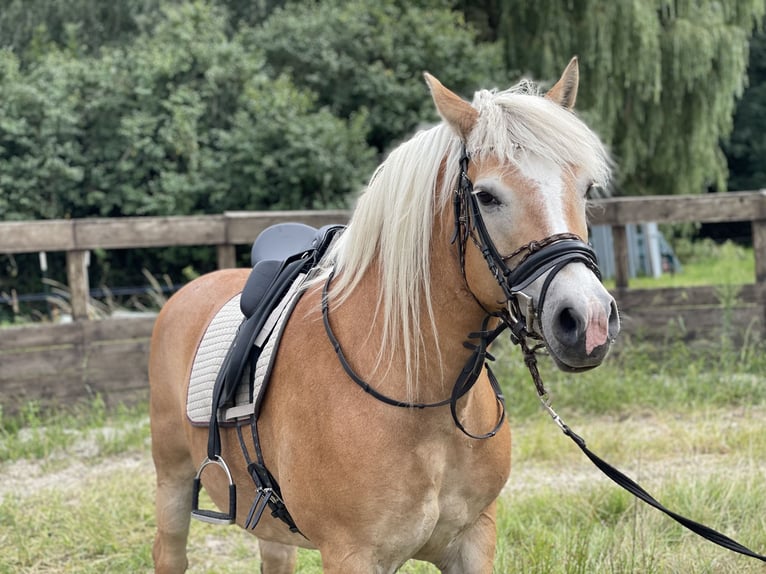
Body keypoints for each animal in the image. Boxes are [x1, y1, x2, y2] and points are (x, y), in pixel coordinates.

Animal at [152, 59, 624, 574]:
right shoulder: (352, 554)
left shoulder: (474, 539)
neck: (420, 395)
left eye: (585, 188)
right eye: (486, 196)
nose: (587, 320)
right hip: (172, 483)